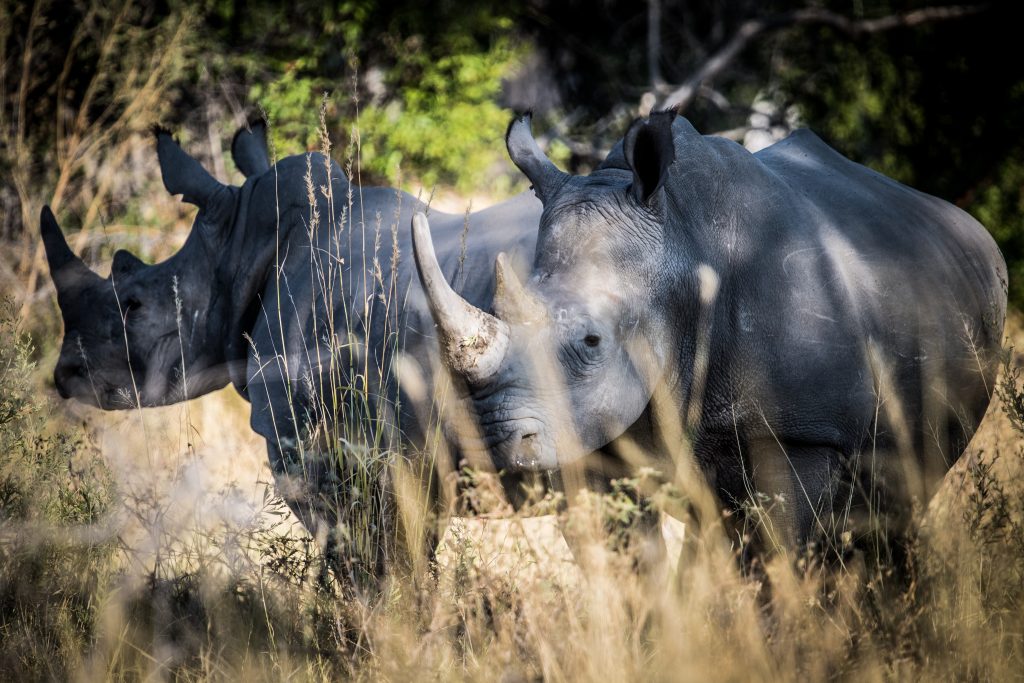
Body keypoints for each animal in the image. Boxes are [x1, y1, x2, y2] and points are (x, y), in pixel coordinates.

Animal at [412, 111, 1008, 548]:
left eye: (591, 341)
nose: (489, 443)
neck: (684, 237)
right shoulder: (595, 429)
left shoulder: (804, 433)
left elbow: (777, 560)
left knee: (897, 502)